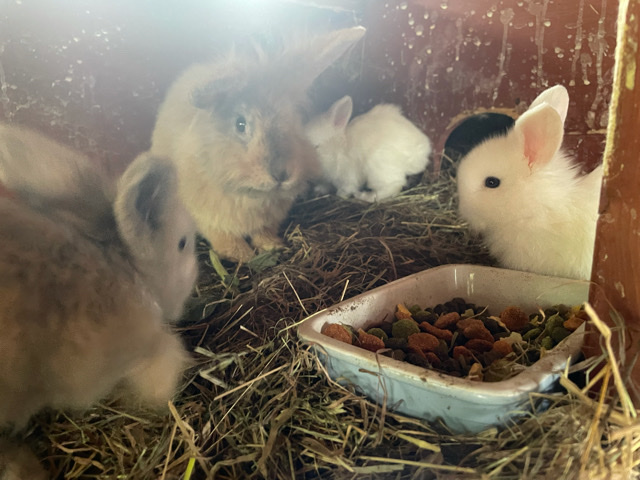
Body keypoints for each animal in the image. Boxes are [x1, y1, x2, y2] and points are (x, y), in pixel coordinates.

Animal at [150, 26, 366, 262]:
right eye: (240, 123)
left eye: (292, 119)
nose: (281, 174)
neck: (251, 194)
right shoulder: (207, 217)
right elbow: (225, 238)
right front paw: (244, 256)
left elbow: (263, 232)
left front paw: (272, 246)